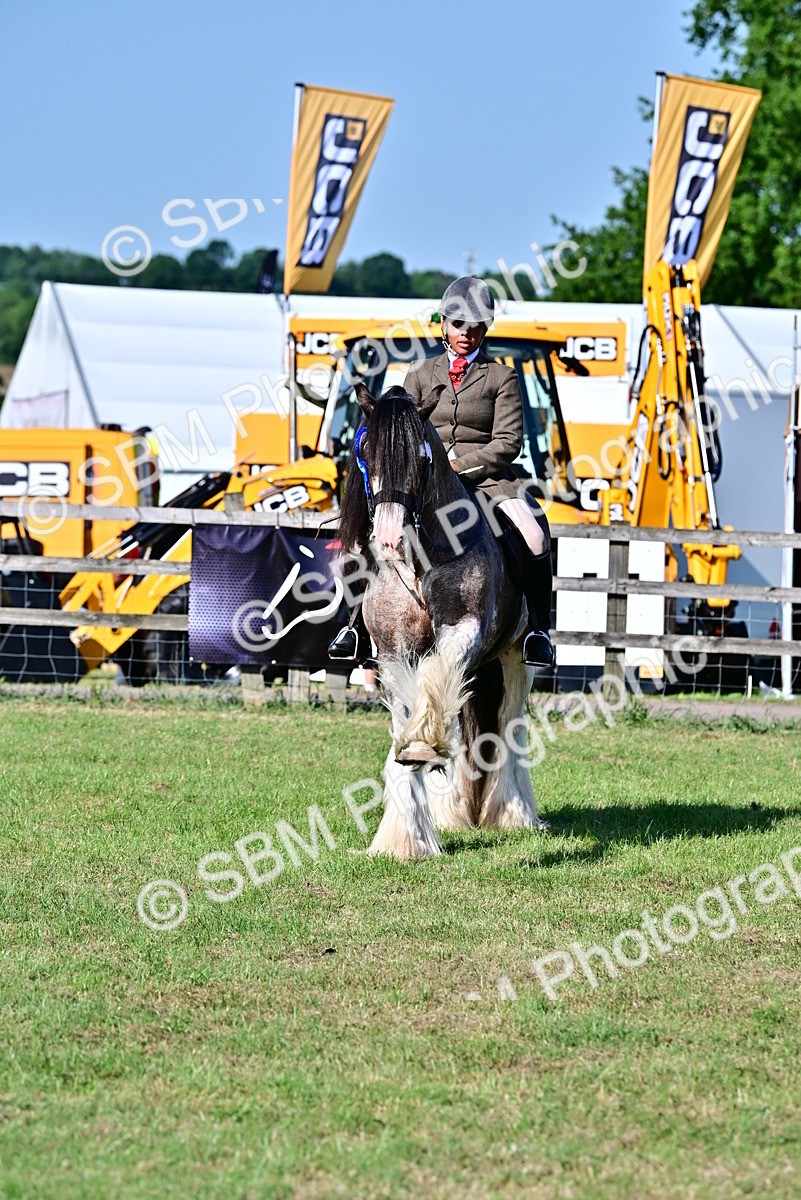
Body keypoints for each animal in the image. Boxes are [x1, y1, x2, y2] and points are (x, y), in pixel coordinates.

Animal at [336, 382, 547, 861]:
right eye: (366, 453)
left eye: (423, 457)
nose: (388, 539)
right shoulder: (393, 652)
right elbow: (408, 712)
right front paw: (403, 840)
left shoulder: (463, 631)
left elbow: (434, 680)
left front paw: (422, 745)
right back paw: (451, 810)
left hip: (515, 658)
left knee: (509, 722)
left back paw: (512, 813)